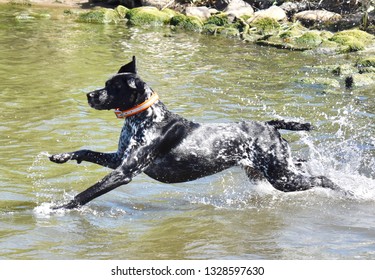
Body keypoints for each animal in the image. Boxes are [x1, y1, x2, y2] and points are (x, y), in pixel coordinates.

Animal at [50, 55, 344, 209]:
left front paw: (56, 208)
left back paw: (347, 191)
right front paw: (62, 156)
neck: (145, 118)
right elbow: (85, 151)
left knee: (321, 179)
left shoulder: (124, 172)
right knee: (301, 165)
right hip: (270, 172)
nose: (89, 95)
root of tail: (269, 124)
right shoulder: (118, 159)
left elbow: (85, 194)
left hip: (283, 178)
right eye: (105, 83)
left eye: (112, 87)